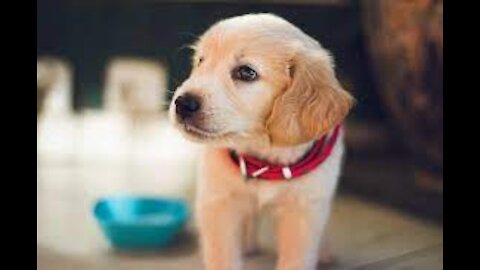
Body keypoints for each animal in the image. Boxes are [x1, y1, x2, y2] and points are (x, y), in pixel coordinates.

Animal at [169, 13, 352, 270]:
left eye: (246, 72)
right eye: (201, 61)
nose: (182, 103)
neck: (263, 155)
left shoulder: (304, 210)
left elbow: (296, 259)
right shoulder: (218, 202)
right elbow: (222, 256)